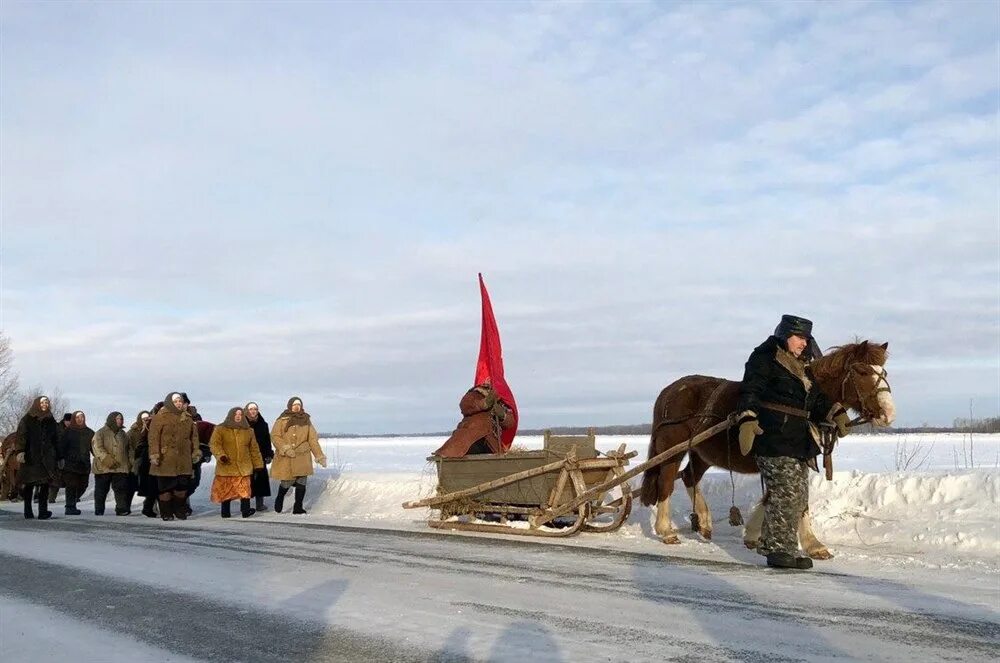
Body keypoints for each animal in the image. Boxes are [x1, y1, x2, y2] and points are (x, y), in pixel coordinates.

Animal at [640, 340, 900, 556]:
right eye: (863, 371)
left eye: (884, 372)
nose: (888, 414)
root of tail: (669, 391)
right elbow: (793, 498)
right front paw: (813, 544)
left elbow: (783, 496)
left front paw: (754, 533)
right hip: (672, 448)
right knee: (666, 481)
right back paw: (666, 530)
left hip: (703, 452)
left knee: (688, 477)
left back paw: (703, 522)